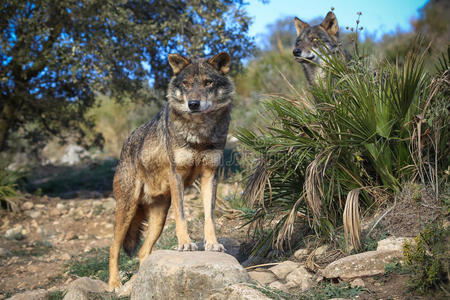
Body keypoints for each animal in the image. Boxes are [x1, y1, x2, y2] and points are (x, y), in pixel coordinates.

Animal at [108, 52, 236, 290]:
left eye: (208, 82)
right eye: (186, 84)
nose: (193, 104)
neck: (199, 132)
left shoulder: (210, 175)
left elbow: (209, 216)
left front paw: (213, 244)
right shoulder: (176, 175)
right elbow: (182, 216)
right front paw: (185, 244)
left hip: (158, 219)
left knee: (143, 252)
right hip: (127, 209)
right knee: (113, 247)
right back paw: (114, 285)